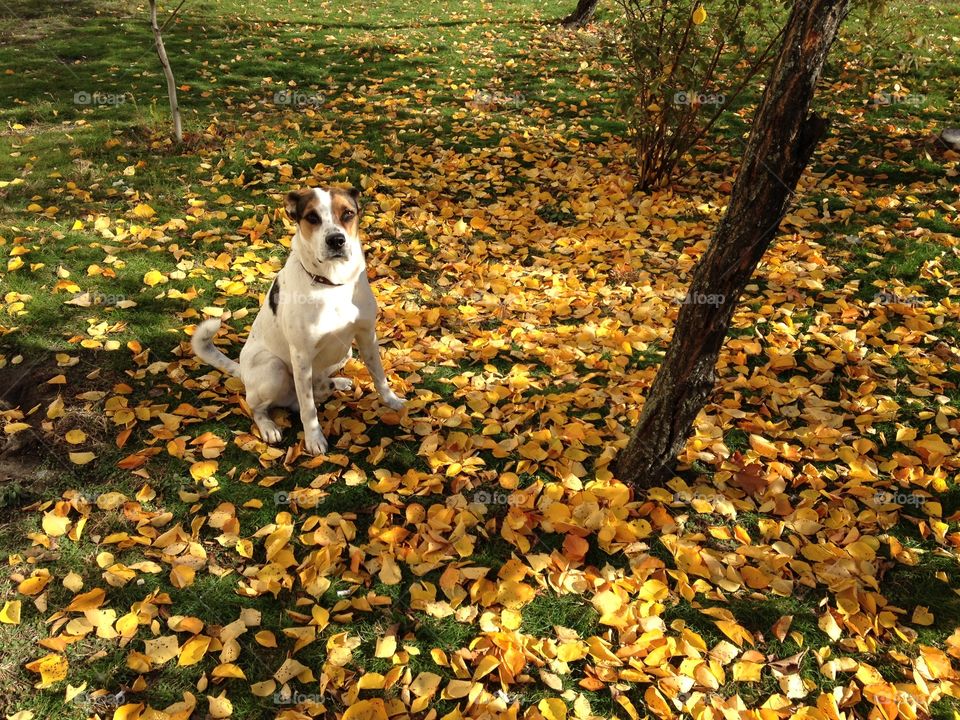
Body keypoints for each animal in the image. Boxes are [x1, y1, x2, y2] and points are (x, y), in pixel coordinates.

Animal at [193, 187, 406, 456]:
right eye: (312, 217)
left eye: (348, 213)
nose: (336, 240)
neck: (332, 284)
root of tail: (243, 374)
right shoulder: (301, 355)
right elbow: (308, 408)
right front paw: (314, 439)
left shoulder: (367, 335)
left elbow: (378, 374)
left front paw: (392, 401)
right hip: (273, 368)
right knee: (258, 406)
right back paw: (269, 427)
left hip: (345, 352)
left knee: (319, 384)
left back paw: (335, 383)